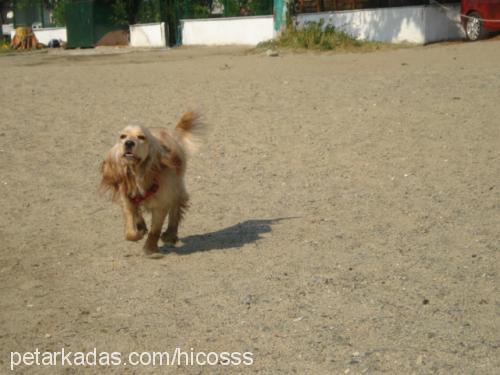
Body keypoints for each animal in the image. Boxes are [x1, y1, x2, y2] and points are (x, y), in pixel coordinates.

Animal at [100, 110, 202, 254]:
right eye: (122, 136)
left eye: (141, 137)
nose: (129, 143)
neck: (139, 174)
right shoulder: (126, 200)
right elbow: (130, 228)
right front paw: (137, 232)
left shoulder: (161, 203)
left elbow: (155, 230)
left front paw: (150, 248)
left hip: (176, 186)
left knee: (175, 208)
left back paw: (170, 234)